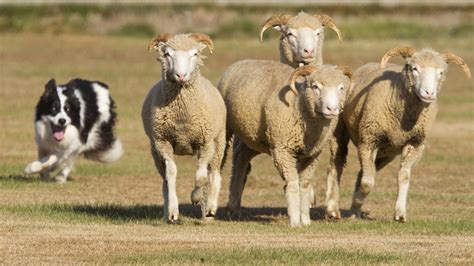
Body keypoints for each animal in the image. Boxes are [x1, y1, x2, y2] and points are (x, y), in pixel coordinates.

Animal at [142, 32, 227, 222]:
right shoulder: (162, 142)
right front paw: (173, 211)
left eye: (194, 54)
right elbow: (171, 174)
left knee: (214, 173)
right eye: (167, 54)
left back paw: (209, 209)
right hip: (154, 151)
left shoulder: (206, 143)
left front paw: (195, 197)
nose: (180, 75)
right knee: (164, 181)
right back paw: (166, 214)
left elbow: (201, 176)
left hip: (219, 143)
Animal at [218, 60, 352, 227]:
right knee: (220, 161)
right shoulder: (282, 150)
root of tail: (239, 62)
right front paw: (295, 220)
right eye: (315, 86)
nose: (332, 109)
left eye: (341, 88)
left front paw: (305, 220)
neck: (299, 105)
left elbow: (304, 184)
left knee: (240, 161)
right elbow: (293, 184)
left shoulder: (312, 154)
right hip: (225, 129)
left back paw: (233, 208)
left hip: (254, 137)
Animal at [324, 46, 472, 221]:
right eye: (414, 68)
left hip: (386, 153)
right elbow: (367, 183)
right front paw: (357, 201)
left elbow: (403, 177)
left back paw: (355, 211)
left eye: (441, 72)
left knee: (364, 172)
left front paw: (400, 213)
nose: (429, 93)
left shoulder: (415, 144)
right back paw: (333, 209)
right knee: (336, 166)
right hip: (340, 132)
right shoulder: (369, 140)